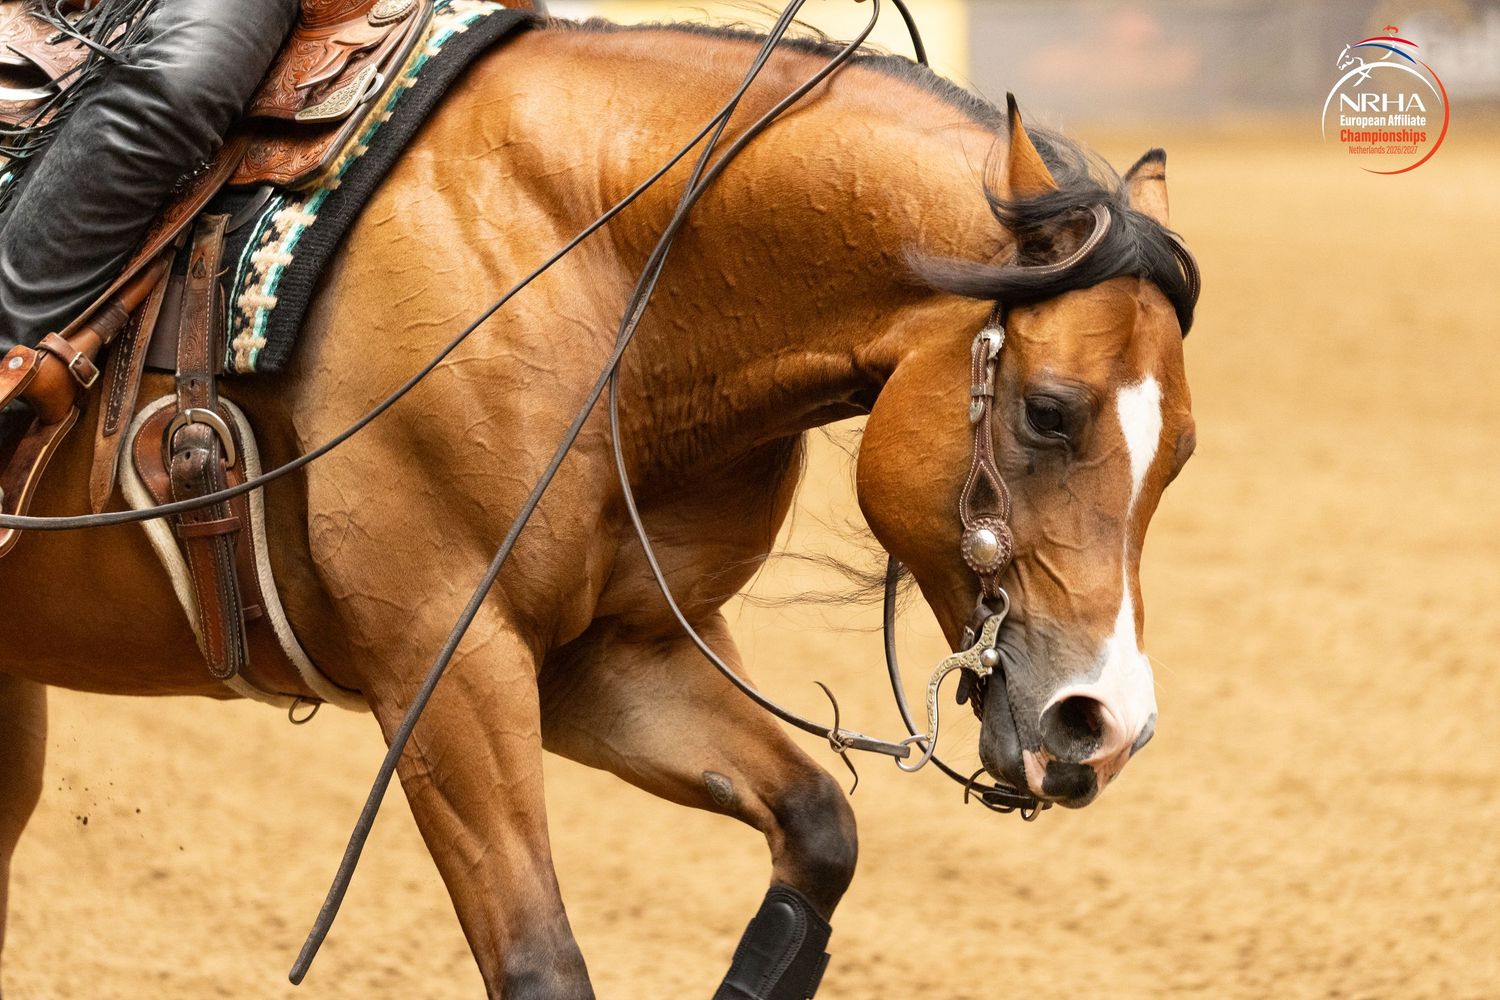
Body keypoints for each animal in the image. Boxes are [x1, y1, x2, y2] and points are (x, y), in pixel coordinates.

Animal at [0, 13, 1197, 998]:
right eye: (1048, 411)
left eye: (1180, 452)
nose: (1103, 725)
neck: (598, 273)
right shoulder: (443, 661)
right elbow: (541, 962)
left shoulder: (611, 654)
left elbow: (820, 827)